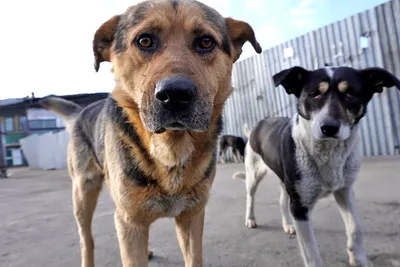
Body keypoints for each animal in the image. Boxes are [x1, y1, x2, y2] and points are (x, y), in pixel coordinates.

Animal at [39, 0, 262, 267]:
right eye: (144, 41)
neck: (170, 151)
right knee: (87, 240)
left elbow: (193, 257)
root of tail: (81, 111)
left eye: (206, 42)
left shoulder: (191, 217)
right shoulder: (130, 221)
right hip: (83, 194)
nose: (175, 94)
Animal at [234, 65, 400, 267]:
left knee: (281, 201)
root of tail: (258, 124)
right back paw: (250, 219)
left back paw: (287, 225)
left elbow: (355, 227)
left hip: (285, 181)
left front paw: (359, 259)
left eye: (350, 94)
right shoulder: (300, 207)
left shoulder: (344, 190)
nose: (328, 127)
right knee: (250, 196)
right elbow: (311, 252)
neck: (328, 152)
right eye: (315, 94)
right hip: (254, 173)